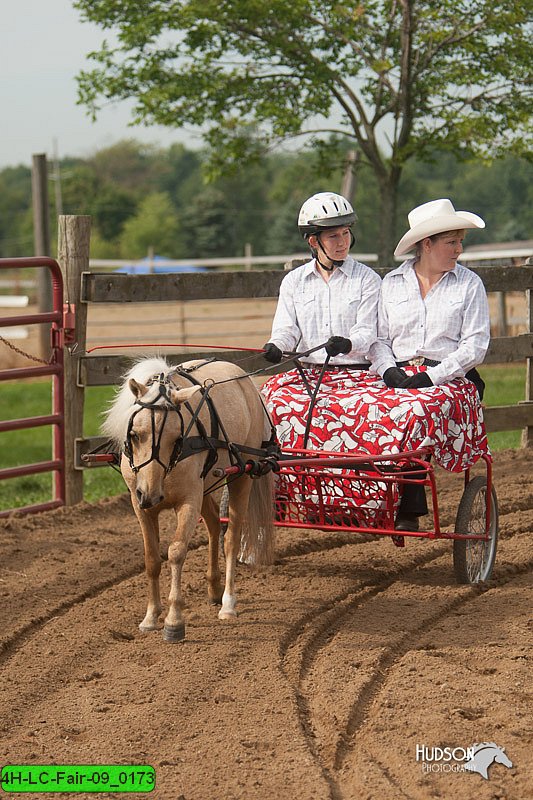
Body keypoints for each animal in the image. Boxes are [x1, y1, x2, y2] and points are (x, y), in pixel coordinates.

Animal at [105, 356, 278, 644]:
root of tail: (244, 378)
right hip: (205, 486)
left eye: (177, 438)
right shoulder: (139, 505)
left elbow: (176, 552)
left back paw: (228, 603)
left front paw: (174, 622)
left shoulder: (188, 501)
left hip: (241, 476)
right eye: (134, 435)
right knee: (213, 526)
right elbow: (152, 558)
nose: (151, 495)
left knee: (231, 538)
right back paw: (214, 587)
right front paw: (150, 617)